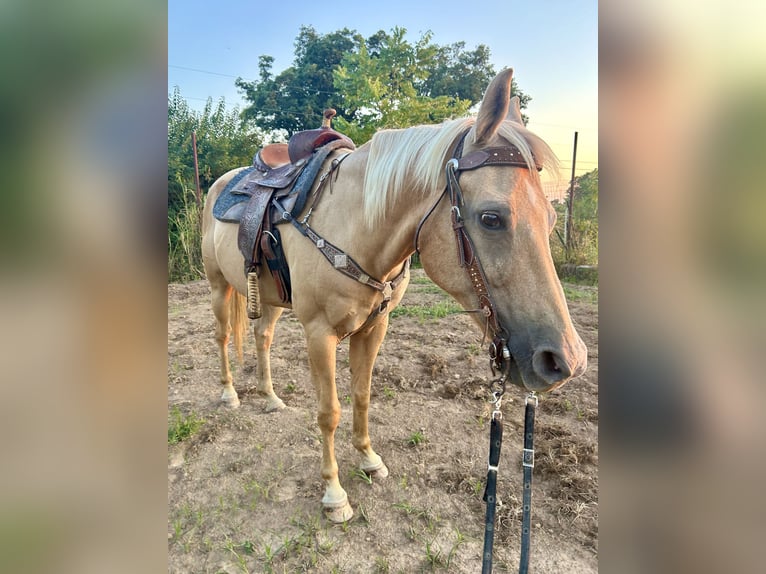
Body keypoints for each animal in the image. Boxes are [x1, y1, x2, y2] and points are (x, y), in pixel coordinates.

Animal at [201, 68, 587, 522]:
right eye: (491, 218)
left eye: (552, 217)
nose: (567, 361)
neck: (354, 224)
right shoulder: (319, 334)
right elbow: (329, 412)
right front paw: (334, 494)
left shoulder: (374, 328)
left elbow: (362, 396)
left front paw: (369, 460)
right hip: (218, 286)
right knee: (223, 336)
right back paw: (229, 393)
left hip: (271, 297)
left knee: (262, 338)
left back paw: (270, 398)